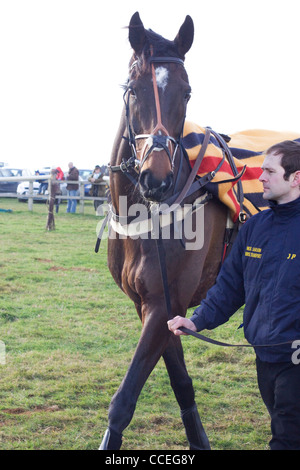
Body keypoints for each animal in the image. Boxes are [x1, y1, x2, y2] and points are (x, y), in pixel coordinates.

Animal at [99, 11, 229, 452]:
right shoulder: (155, 306)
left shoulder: (163, 305)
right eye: (133, 89)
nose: (156, 177)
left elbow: (123, 401)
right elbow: (181, 382)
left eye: (186, 93)